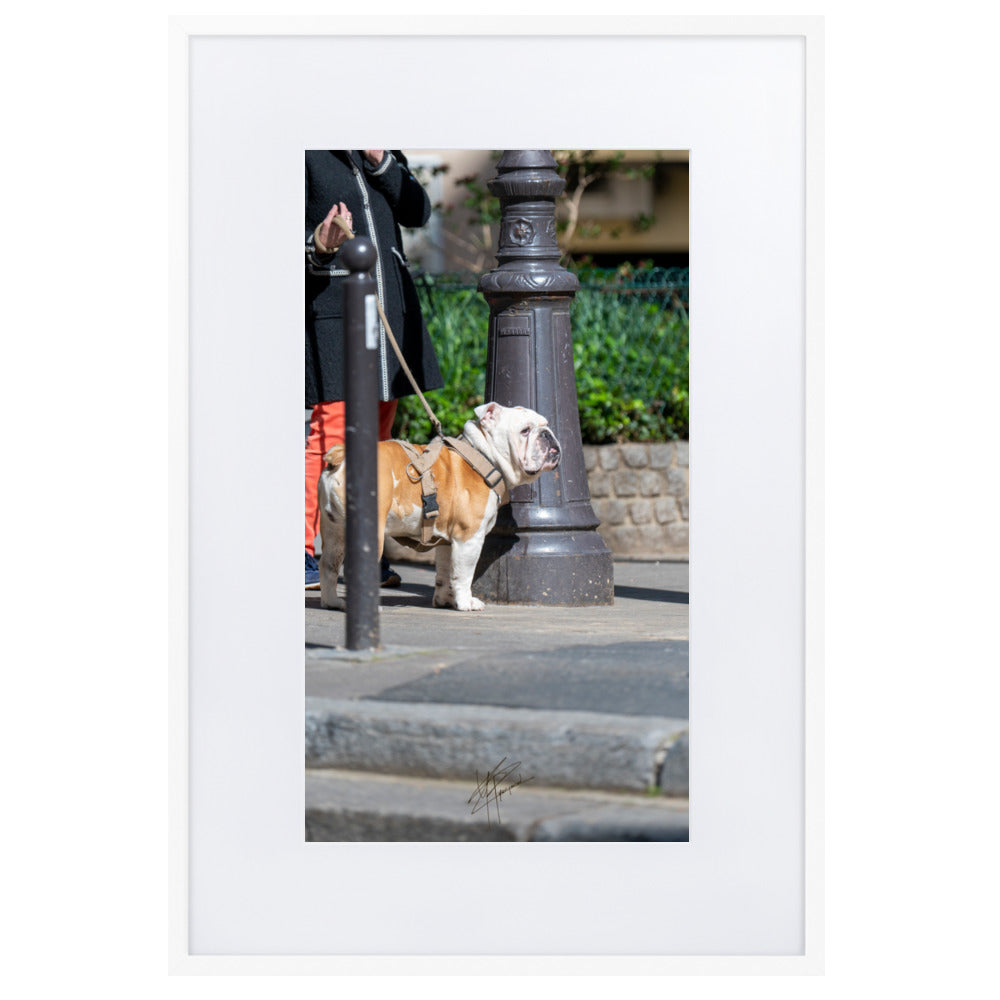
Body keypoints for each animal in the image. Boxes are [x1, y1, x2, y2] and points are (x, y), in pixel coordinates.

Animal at [316, 400, 560, 608]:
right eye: (525, 430)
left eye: (546, 424)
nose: (547, 434)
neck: (484, 455)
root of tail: (340, 456)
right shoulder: (469, 537)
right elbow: (464, 574)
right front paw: (466, 603)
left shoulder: (446, 540)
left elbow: (445, 572)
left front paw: (445, 600)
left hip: (334, 532)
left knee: (328, 566)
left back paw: (332, 602)